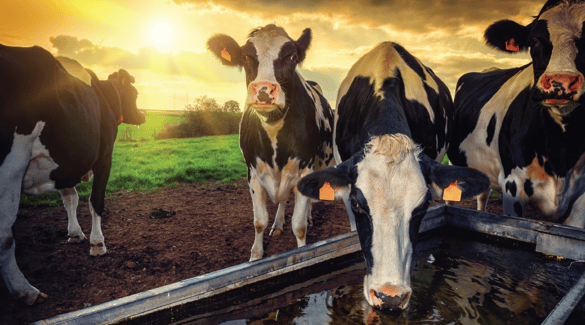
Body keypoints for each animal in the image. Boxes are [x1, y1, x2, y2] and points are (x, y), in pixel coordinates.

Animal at [0, 44, 145, 306]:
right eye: (134, 93)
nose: (143, 115)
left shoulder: (65, 163)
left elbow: (70, 199)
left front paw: (75, 233)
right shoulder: (104, 157)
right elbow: (96, 201)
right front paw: (97, 243)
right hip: (11, 166)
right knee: (4, 235)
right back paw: (27, 291)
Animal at [205, 24, 334, 260]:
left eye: (292, 56)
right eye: (246, 57)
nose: (264, 90)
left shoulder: (304, 169)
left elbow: (299, 225)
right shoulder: (253, 173)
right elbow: (259, 221)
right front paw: (256, 255)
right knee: (282, 201)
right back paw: (278, 224)